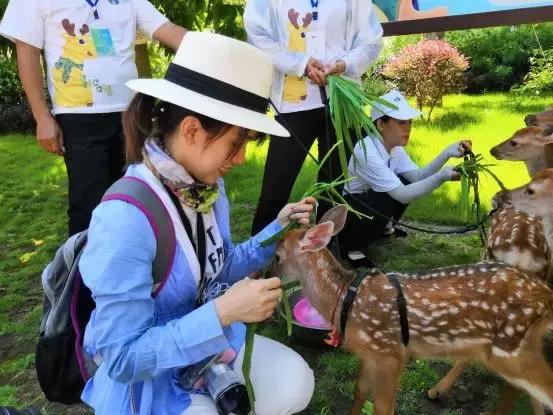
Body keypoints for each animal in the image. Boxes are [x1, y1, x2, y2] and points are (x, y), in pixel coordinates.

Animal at [270, 207, 552, 415]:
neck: (344, 297)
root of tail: (546, 294)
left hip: (511, 349)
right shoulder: (370, 355)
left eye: (276, 255)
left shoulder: (390, 353)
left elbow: (383, 407)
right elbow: (359, 390)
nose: (265, 274)